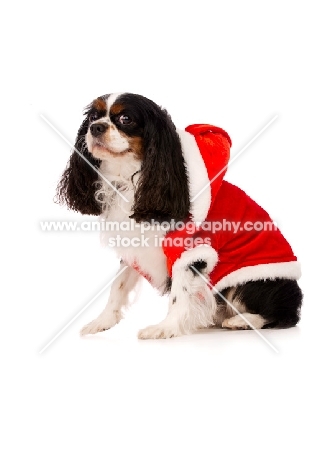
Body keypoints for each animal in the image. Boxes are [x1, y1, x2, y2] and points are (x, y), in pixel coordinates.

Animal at [55, 92, 302, 340]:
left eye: (126, 118)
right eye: (93, 117)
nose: (96, 127)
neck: (130, 179)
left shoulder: (188, 251)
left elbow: (178, 294)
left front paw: (165, 328)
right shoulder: (134, 244)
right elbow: (119, 285)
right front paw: (102, 321)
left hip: (254, 282)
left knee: (284, 315)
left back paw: (241, 321)